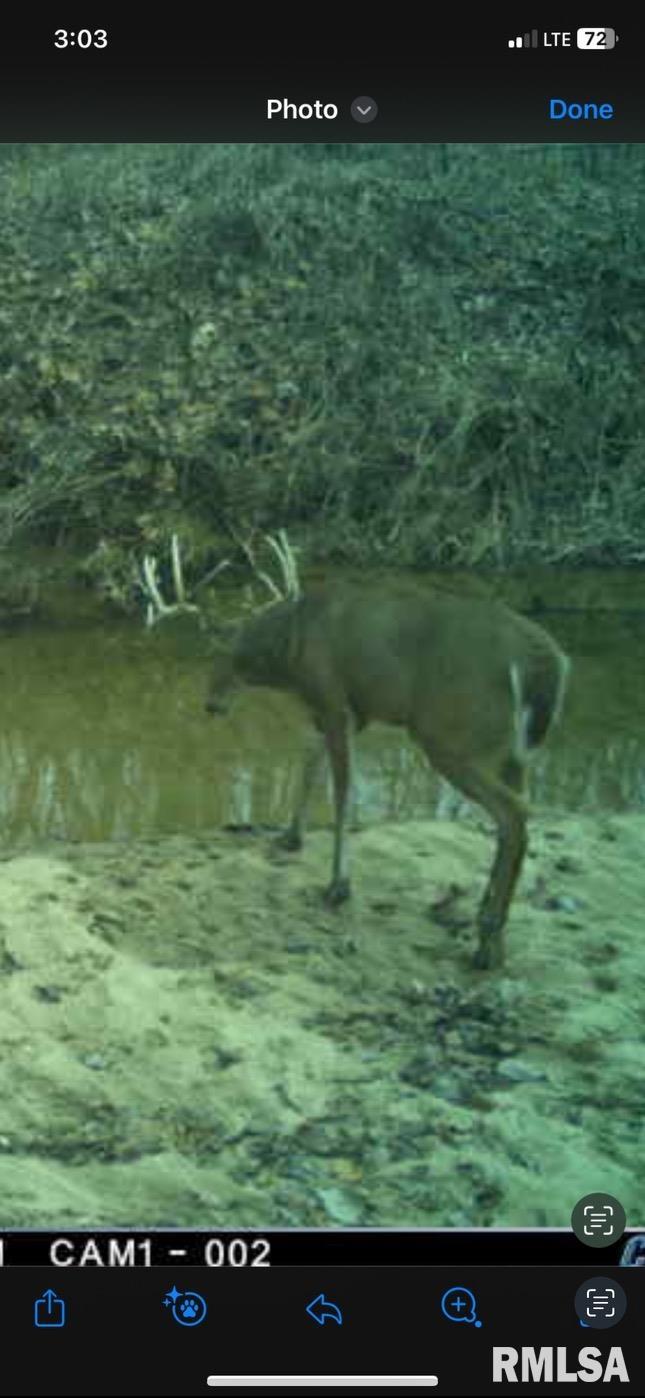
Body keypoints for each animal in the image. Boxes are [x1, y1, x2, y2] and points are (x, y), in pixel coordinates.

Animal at [202, 573, 568, 967]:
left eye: (223, 657)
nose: (210, 705)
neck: (291, 649)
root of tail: (547, 665)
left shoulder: (334, 700)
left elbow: (343, 790)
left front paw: (338, 885)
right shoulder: (335, 711)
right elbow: (310, 762)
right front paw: (291, 837)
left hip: (451, 735)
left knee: (514, 814)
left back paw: (486, 940)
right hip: (512, 753)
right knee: (515, 818)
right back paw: (489, 933)